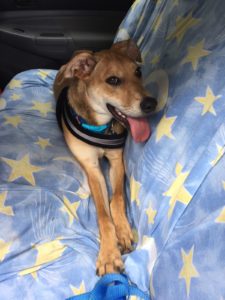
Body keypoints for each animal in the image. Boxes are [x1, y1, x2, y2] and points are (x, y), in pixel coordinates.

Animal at [53, 40, 157, 276]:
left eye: (138, 72)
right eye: (113, 80)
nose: (151, 104)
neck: (101, 126)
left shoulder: (117, 161)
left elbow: (116, 198)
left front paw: (124, 232)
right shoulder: (92, 168)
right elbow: (102, 213)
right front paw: (109, 255)